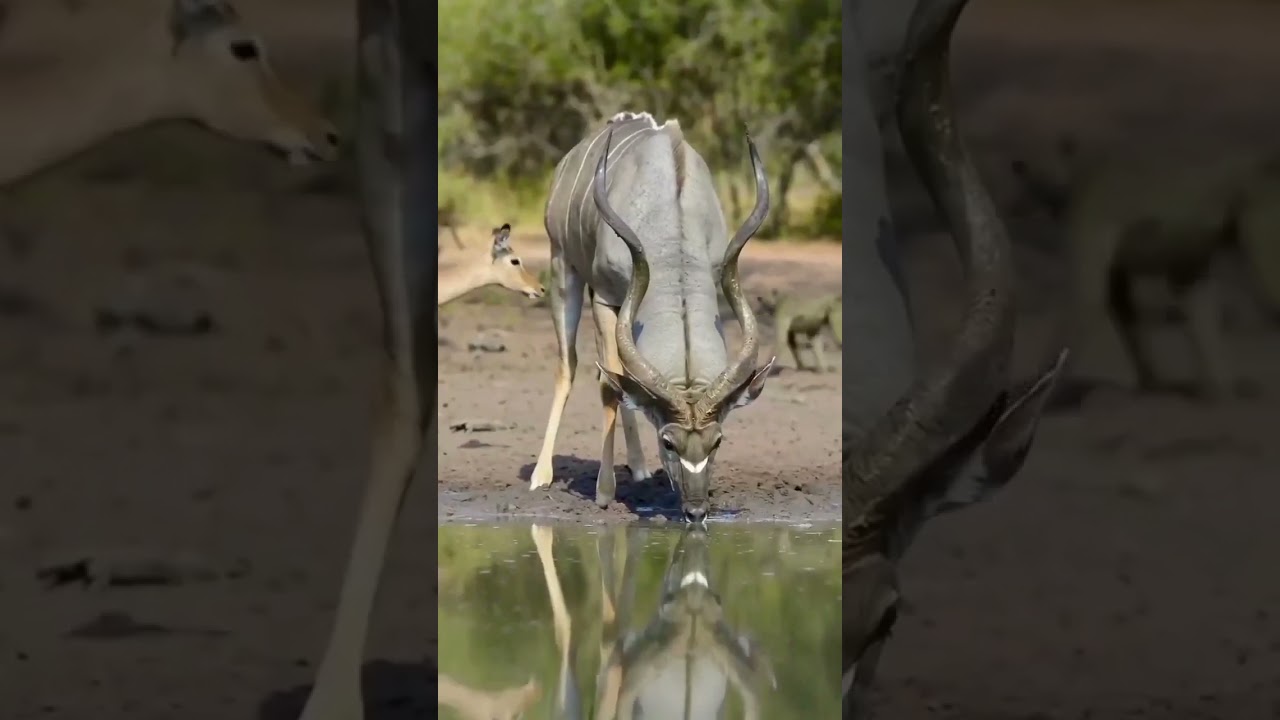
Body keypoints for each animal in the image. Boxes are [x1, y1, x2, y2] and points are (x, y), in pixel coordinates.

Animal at [529, 112, 776, 522]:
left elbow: (625, 386)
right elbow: (608, 386)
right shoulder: (608, 298)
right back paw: (541, 474)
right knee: (571, 367)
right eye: (668, 442)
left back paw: (640, 468)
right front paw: (604, 492)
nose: (695, 510)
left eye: (717, 441)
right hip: (563, 269)